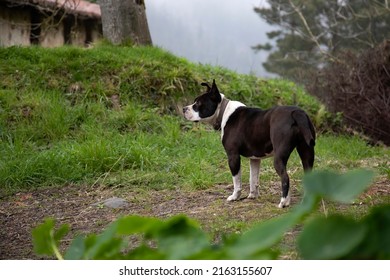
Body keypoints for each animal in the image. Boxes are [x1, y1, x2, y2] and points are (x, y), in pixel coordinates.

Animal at [184, 80, 316, 207]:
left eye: (198, 104)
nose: (184, 108)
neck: (223, 111)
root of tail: (297, 112)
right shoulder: (255, 159)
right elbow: (253, 178)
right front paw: (252, 195)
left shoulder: (233, 156)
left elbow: (237, 180)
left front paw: (235, 197)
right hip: (307, 152)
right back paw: (305, 201)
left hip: (279, 156)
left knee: (285, 177)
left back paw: (283, 202)